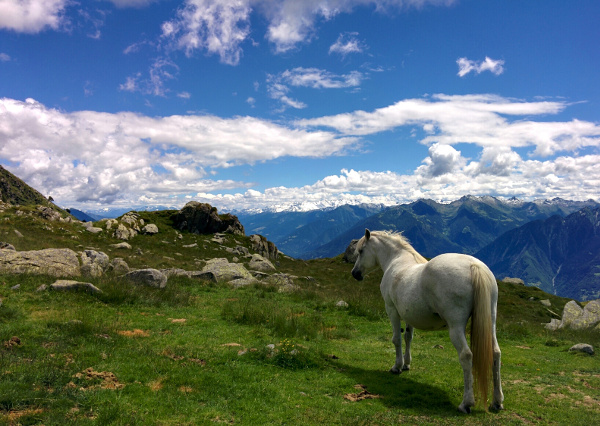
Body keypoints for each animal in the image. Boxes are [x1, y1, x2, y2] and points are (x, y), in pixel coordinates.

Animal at [350, 230, 504, 412]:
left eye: (361, 251)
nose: (355, 273)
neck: (396, 260)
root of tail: (474, 266)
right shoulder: (409, 315)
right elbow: (408, 337)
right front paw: (406, 364)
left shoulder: (392, 310)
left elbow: (396, 339)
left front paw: (397, 367)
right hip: (491, 321)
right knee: (495, 353)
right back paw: (497, 401)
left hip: (456, 327)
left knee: (466, 355)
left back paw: (466, 403)